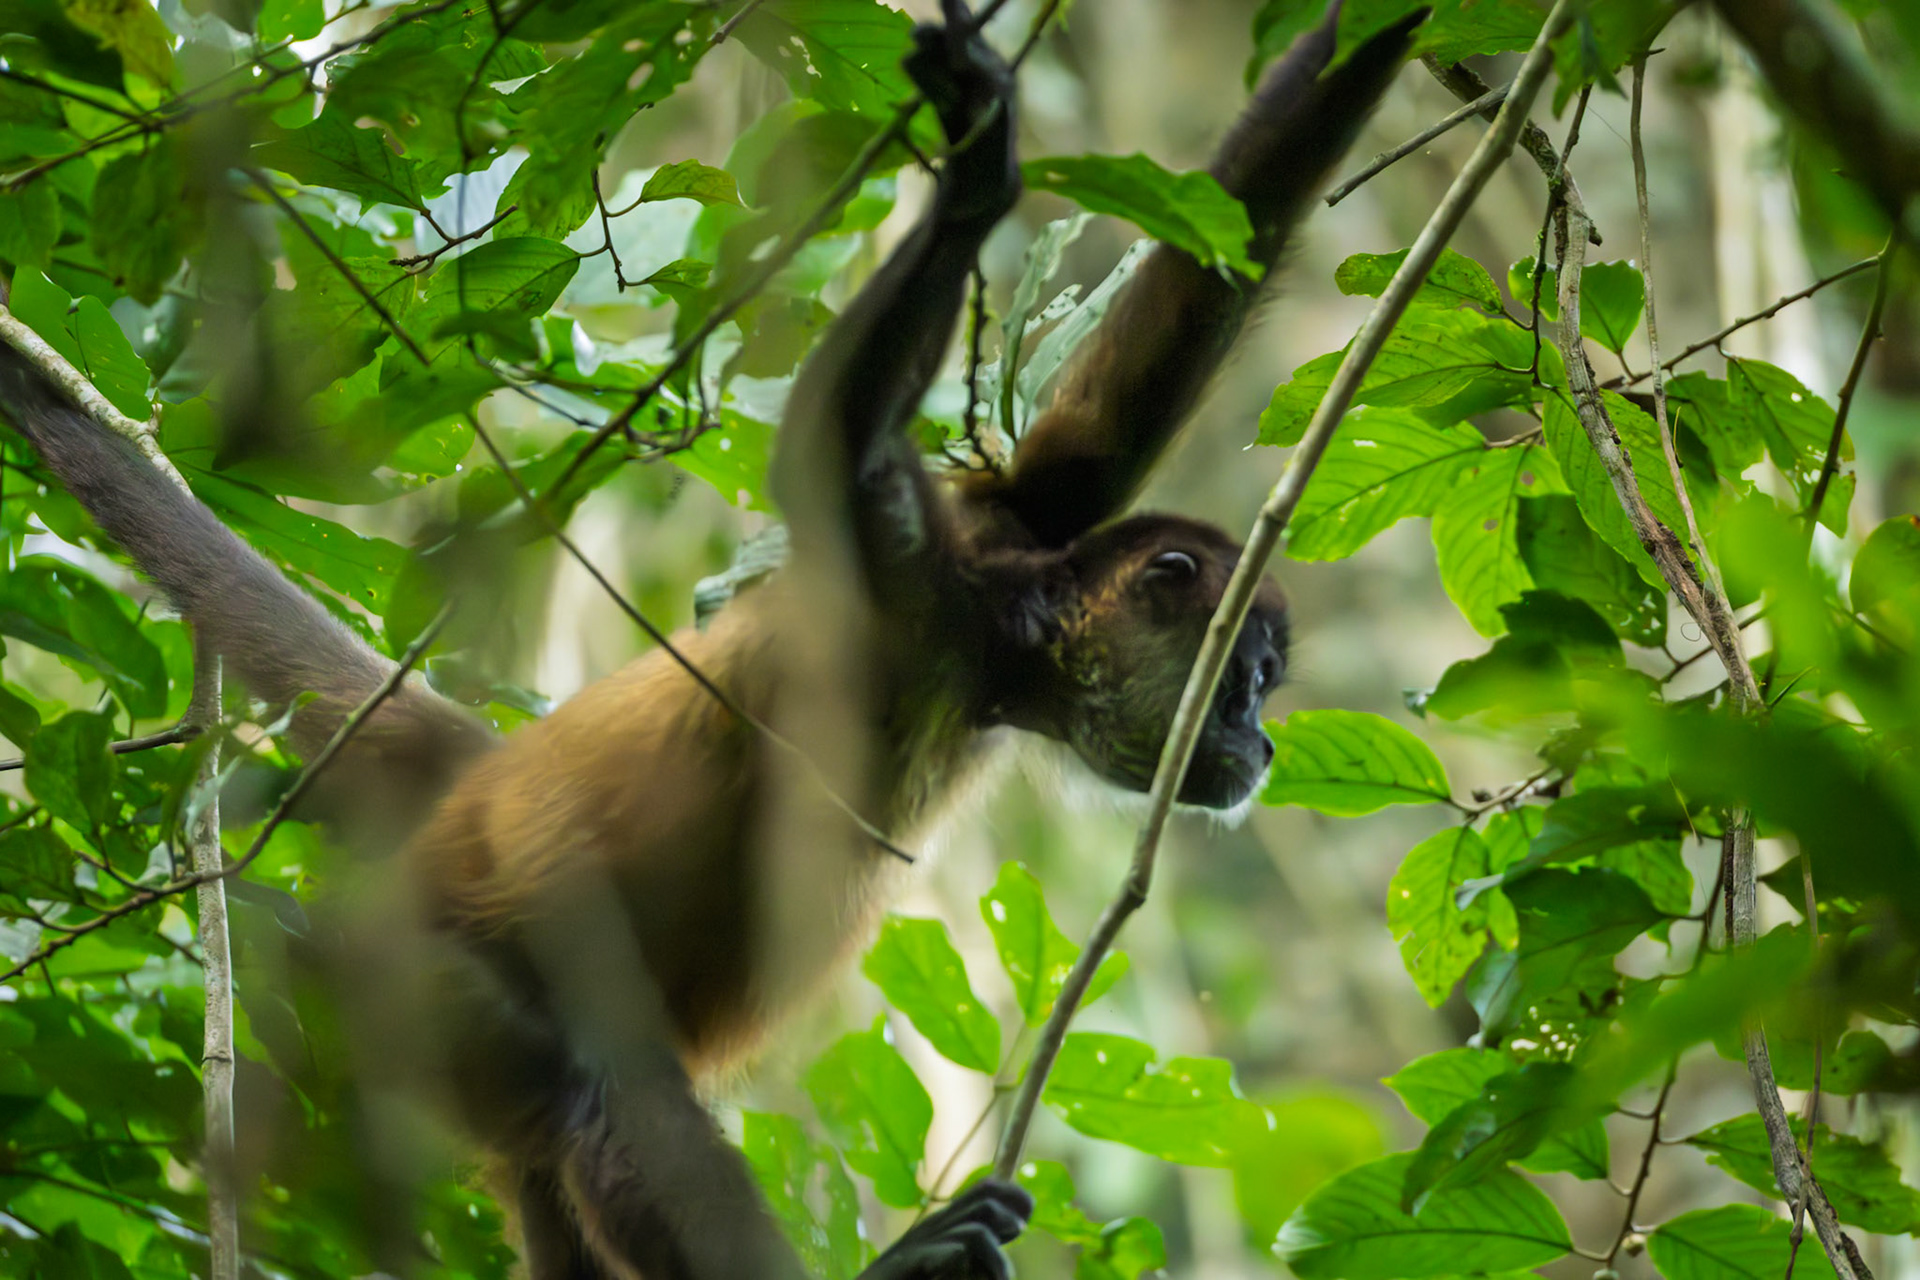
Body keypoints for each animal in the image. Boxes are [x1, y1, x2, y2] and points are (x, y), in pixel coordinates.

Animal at [0, 2, 1419, 1277]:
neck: (994, 646)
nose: (1261, 747)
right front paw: (973, 176)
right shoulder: (904, 584)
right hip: (397, 965)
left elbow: (1187, 295)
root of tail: (475, 784)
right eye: (1251, 683)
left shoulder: (1026, 508)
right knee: (593, 1086)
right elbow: (824, 443)